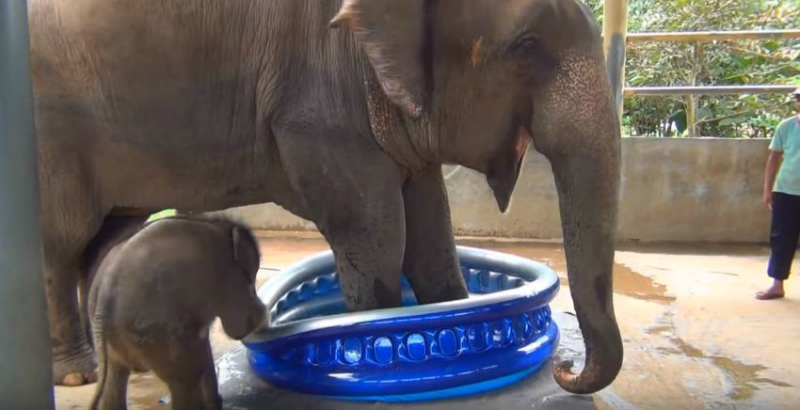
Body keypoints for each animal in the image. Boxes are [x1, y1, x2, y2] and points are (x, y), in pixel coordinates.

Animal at [89, 216, 268, 408]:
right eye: (251, 277)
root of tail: (106, 287)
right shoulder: (230, 284)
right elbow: (238, 329)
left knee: (115, 377)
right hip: (159, 331)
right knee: (186, 378)